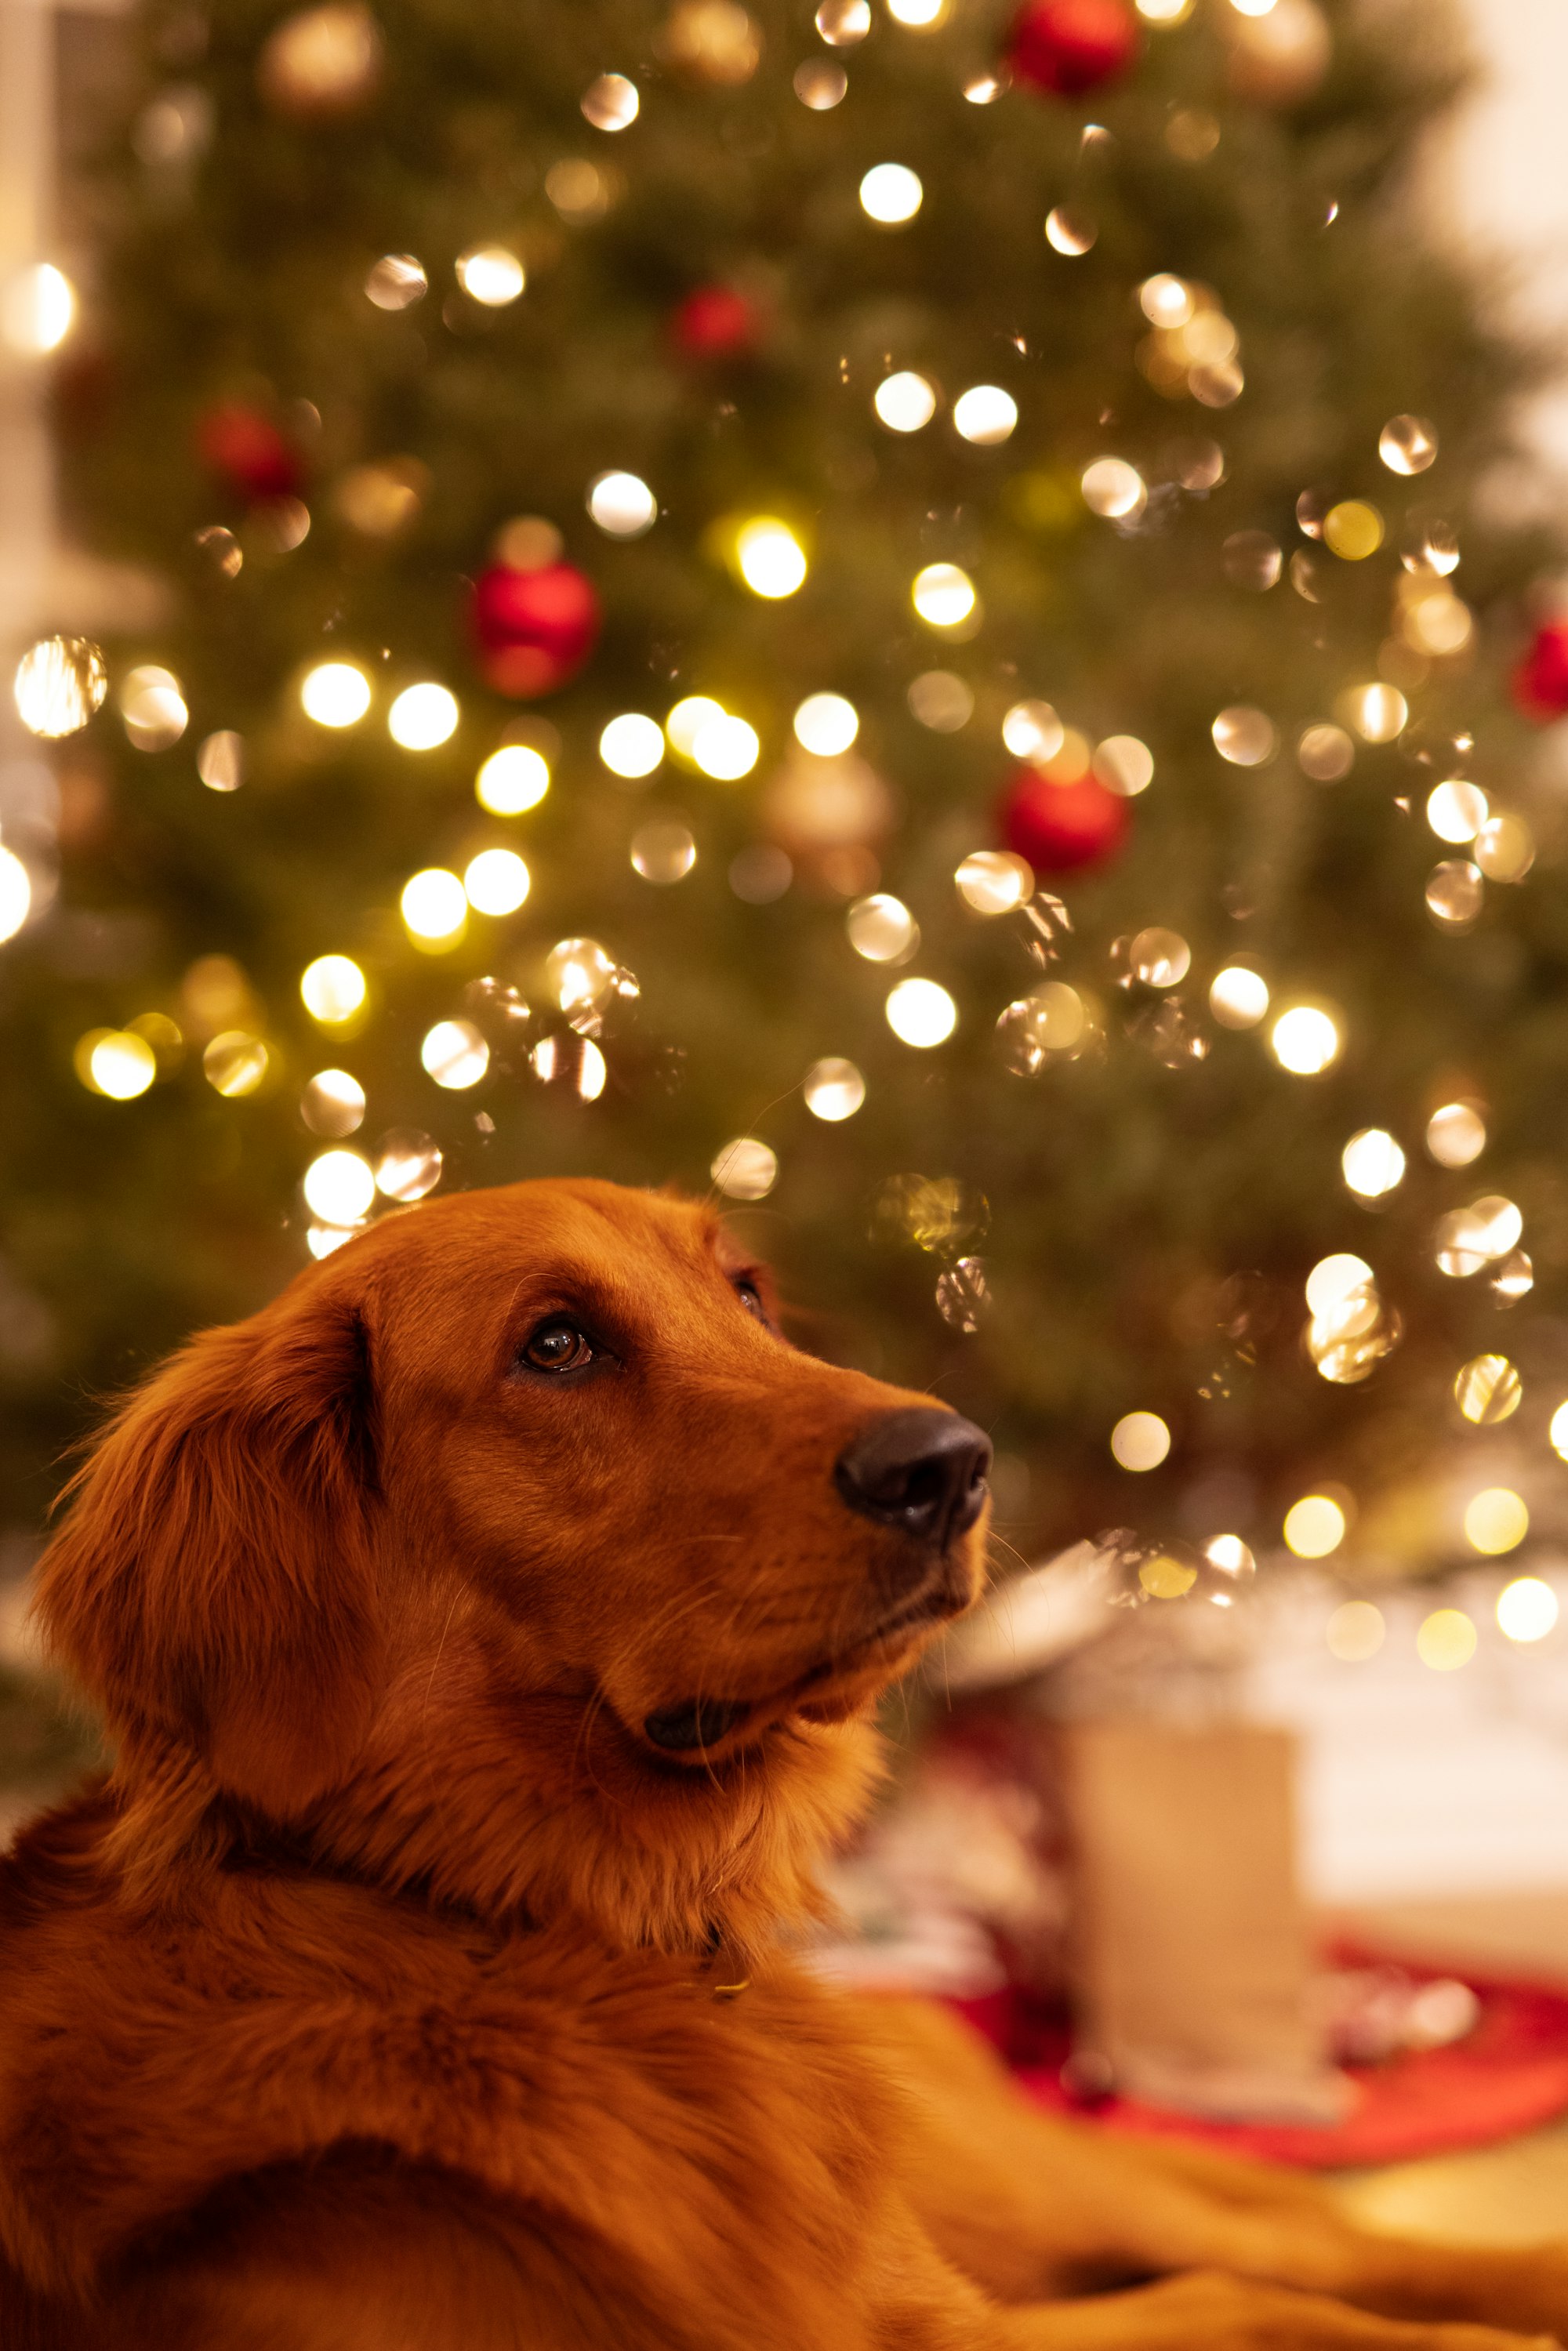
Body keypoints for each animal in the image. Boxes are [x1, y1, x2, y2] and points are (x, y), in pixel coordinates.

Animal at [2, 1185, 1568, 2342]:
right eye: (556, 1344)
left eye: (746, 1294)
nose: (954, 1461)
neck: (514, 1925)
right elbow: (1246, 2303)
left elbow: (1266, 2285)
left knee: (1300, 2232)